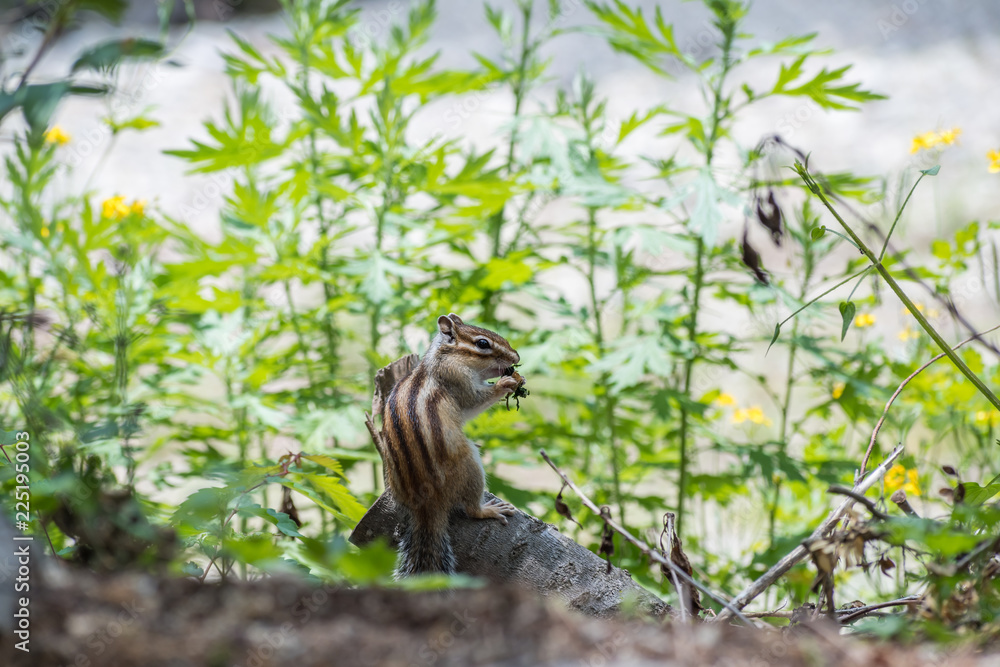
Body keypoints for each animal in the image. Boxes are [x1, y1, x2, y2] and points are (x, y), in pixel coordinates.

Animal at [380, 313, 521, 576]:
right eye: (483, 343)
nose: (516, 357)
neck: (443, 358)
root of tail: (426, 505)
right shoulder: (456, 379)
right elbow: (473, 401)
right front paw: (505, 383)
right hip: (470, 466)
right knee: (471, 509)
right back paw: (489, 510)